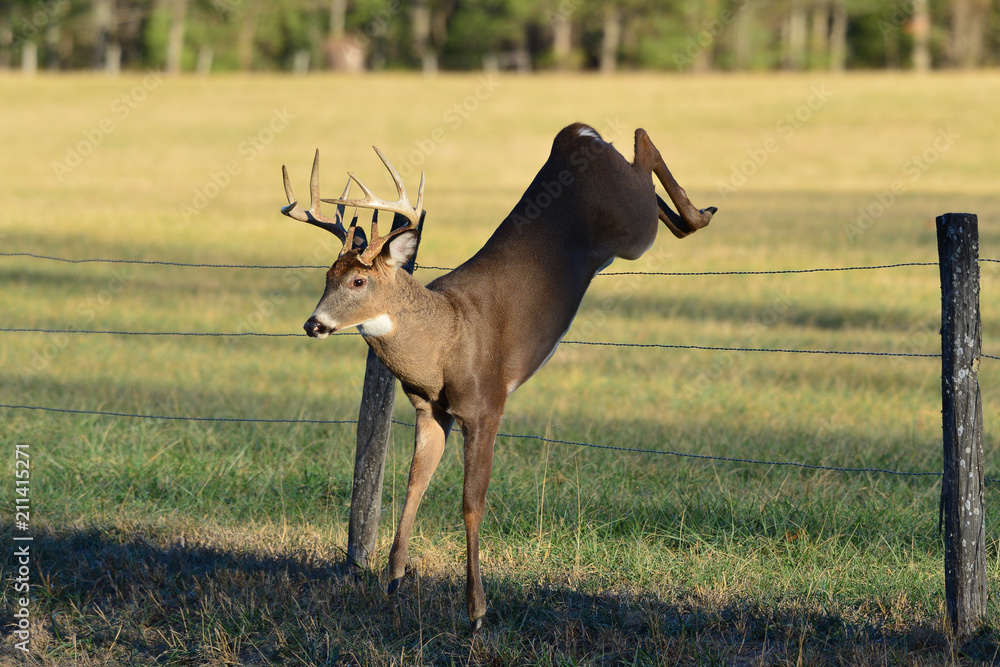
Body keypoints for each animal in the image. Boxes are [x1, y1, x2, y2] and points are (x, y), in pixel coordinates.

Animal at [279, 123, 715, 632]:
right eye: (327, 276)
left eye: (358, 282)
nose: (314, 324)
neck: (444, 342)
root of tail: (575, 135)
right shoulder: (431, 410)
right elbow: (413, 484)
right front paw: (394, 579)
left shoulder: (486, 406)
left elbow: (472, 503)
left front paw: (476, 610)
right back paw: (693, 213)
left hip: (633, 228)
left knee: (644, 145)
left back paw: (700, 211)